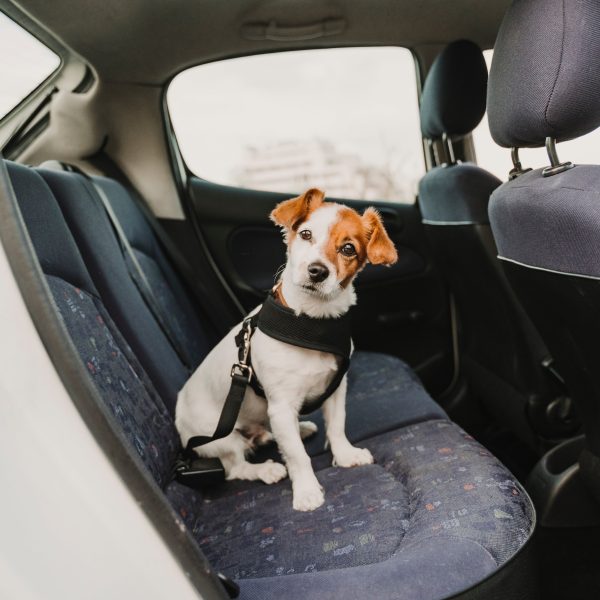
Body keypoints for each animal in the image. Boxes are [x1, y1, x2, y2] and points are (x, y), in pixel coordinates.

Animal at [175, 188, 398, 510]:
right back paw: (265, 469)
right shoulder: (280, 406)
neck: (310, 323)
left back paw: (290, 431)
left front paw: (345, 455)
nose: (317, 271)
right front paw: (306, 491)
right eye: (305, 234)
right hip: (219, 437)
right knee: (235, 467)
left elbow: (337, 425)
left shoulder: (336, 389)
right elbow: (297, 456)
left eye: (348, 248)